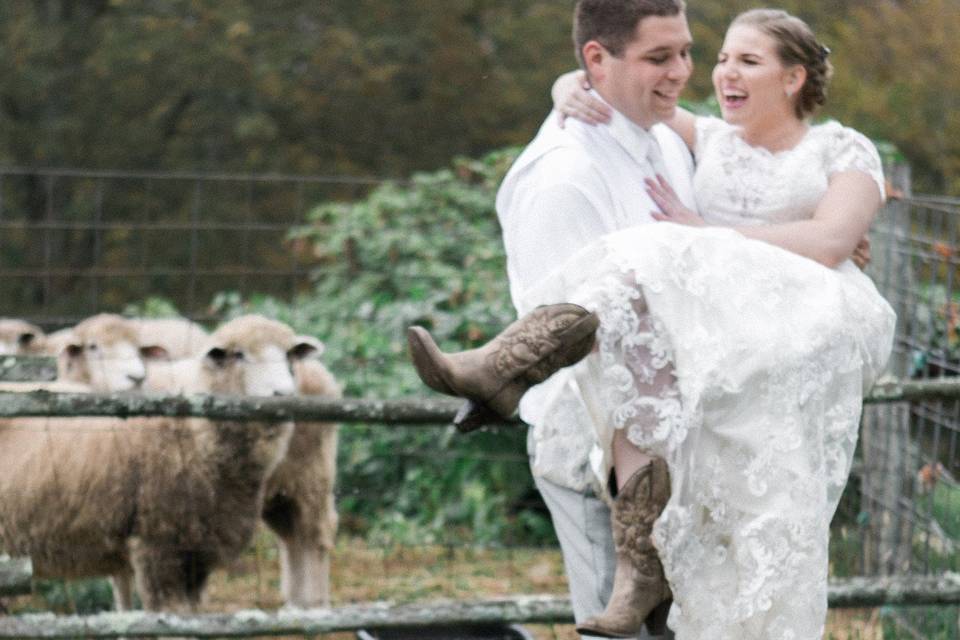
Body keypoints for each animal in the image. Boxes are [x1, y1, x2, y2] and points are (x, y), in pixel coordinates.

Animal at [0, 316, 322, 616]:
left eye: (290, 354)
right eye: (239, 355)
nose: (284, 394)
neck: (196, 436)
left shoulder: (196, 554)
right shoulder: (157, 546)